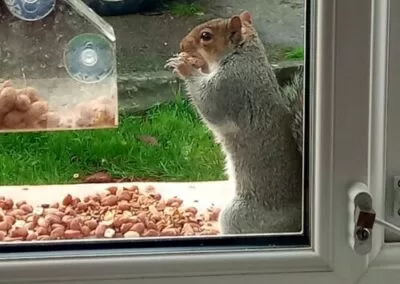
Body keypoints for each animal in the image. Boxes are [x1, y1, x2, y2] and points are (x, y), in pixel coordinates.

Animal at [166, 10, 304, 233]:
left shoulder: (229, 86)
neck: (243, 55)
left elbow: (208, 104)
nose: (182, 45)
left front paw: (184, 66)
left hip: (239, 215)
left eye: (206, 36)